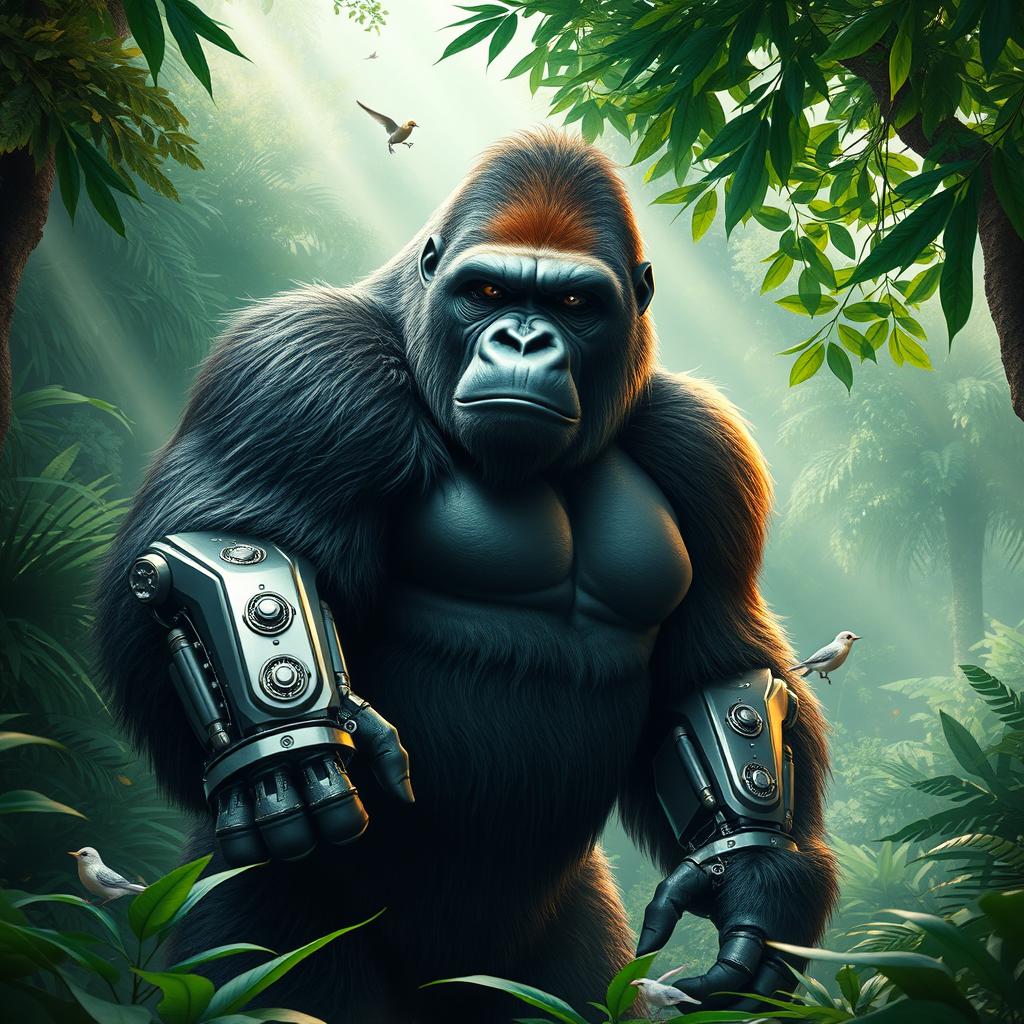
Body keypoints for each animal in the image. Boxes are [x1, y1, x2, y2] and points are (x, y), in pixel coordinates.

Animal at [95, 129, 837, 1023]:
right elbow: (202, 565)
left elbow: (718, 667)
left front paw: (761, 880)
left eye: (576, 305)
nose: (522, 341)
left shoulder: (704, 448)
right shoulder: (296, 371)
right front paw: (280, 747)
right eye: (486, 292)